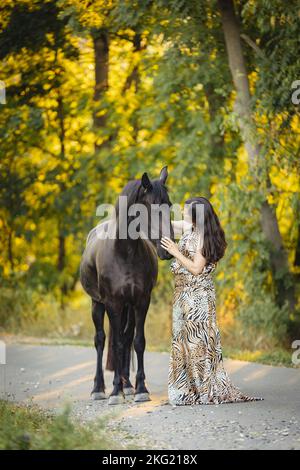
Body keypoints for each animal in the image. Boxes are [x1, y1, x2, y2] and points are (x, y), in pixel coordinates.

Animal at [79, 167, 173, 406]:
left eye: (169, 205)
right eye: (151, 206)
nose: (167, 249)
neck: (125, 253)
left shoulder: (141, 302)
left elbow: (137, 342)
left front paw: (140, 389)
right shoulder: (113, 303)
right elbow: (117, 344)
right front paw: (114, 392)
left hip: (128, 308)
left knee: (127, 337)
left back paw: (127, 385)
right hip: (97, 304)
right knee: (101, 340)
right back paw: (99, 389)